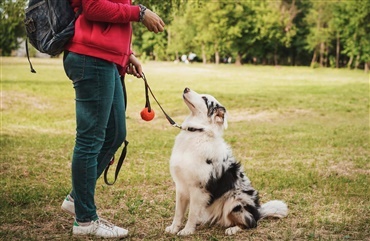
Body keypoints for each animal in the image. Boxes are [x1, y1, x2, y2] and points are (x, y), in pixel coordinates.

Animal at [165, 87, 290, 235]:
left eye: (205, 99)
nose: (186, 88)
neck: (197, 132)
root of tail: (258, 212)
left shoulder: (198, 189)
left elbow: (192, 214)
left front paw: (187, 231)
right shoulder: (181, 186)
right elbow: (178, 213)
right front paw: (174, 228)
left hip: (234, 200)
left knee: (251, 223)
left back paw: (233, 229)